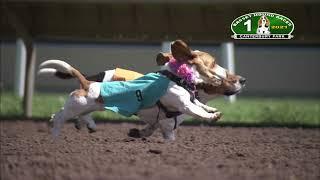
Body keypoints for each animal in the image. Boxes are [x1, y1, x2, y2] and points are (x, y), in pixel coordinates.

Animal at [38, 40, 246, 140]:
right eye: (214, 62)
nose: (242, 79)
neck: (175, 78)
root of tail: (87, 83)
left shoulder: (185, 105)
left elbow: (200, 106)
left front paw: (211, 109)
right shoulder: (182, 106)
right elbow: (197, 111)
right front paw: (212, 116)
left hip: (86, 107)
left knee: (74, 116)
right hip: (76, 106)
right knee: (59, 117)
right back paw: (55, 135)